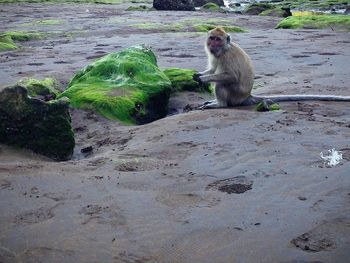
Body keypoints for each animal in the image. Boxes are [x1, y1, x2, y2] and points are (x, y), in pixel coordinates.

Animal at [194, 26, 350, 109]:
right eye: (212, 38)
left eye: (218, 39)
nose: (212, 44)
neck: (223, 50)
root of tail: (247, 96)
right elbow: (213, 69)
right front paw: (199, 74)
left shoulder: (227, 57)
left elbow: (231, 76)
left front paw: (203, 79)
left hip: (235, 96)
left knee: (222, 84)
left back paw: (220, 104)